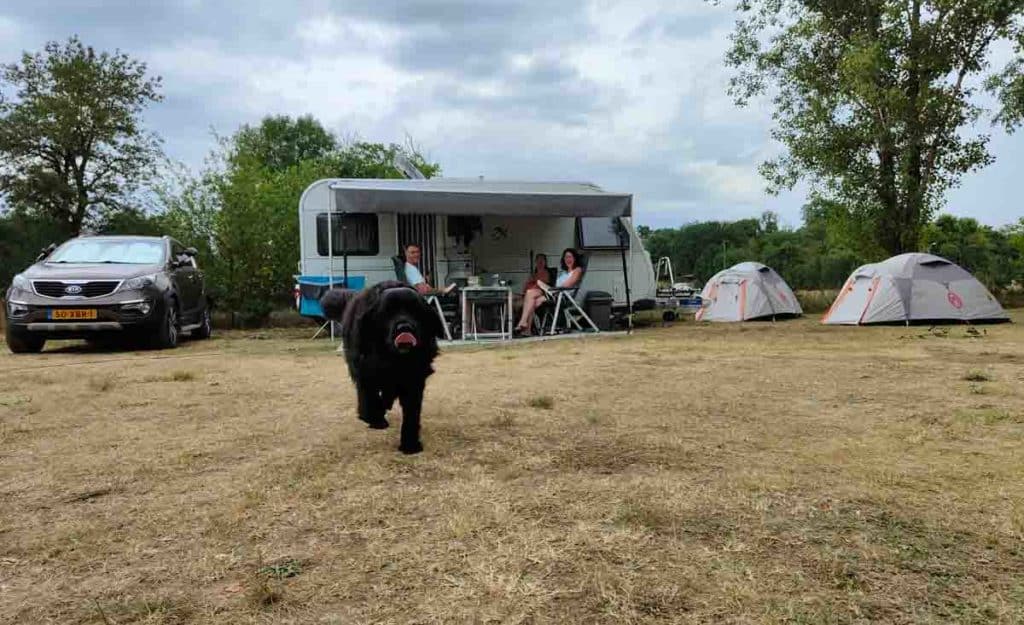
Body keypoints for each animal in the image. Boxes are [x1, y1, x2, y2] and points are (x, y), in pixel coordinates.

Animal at [319, 282, 440, 452]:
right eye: (387, 313)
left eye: (415, 310)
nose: (404, 327)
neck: (392, 359)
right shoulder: (365, 371)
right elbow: (369, 397)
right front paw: (374, 418)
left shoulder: (414, 379)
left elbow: (411, 413)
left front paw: (410, 444)